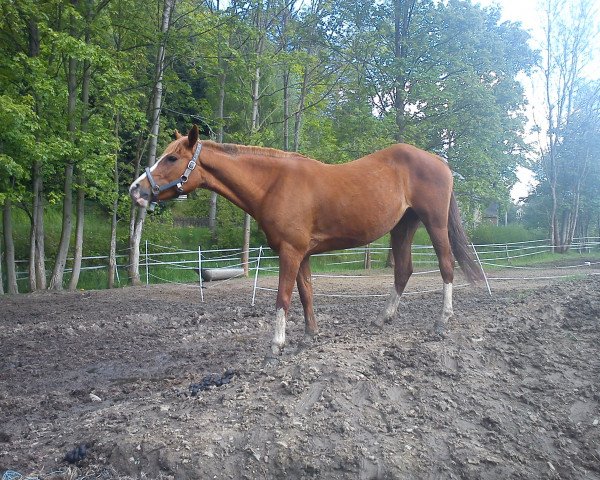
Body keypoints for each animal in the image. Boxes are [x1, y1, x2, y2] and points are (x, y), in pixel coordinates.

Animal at [130, 125, 482, 358]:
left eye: (172, 158)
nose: (136, 190)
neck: (274, 184)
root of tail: (440, 162)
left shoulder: (290, 252)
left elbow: (284, 297)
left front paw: (277, 344)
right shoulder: (303, 254)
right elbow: (306, 294)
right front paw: (310, 335)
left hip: (434, 223)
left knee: (446, 266)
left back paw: (442, 321)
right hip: (403, 227)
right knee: (403, 270)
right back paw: (384, 317)